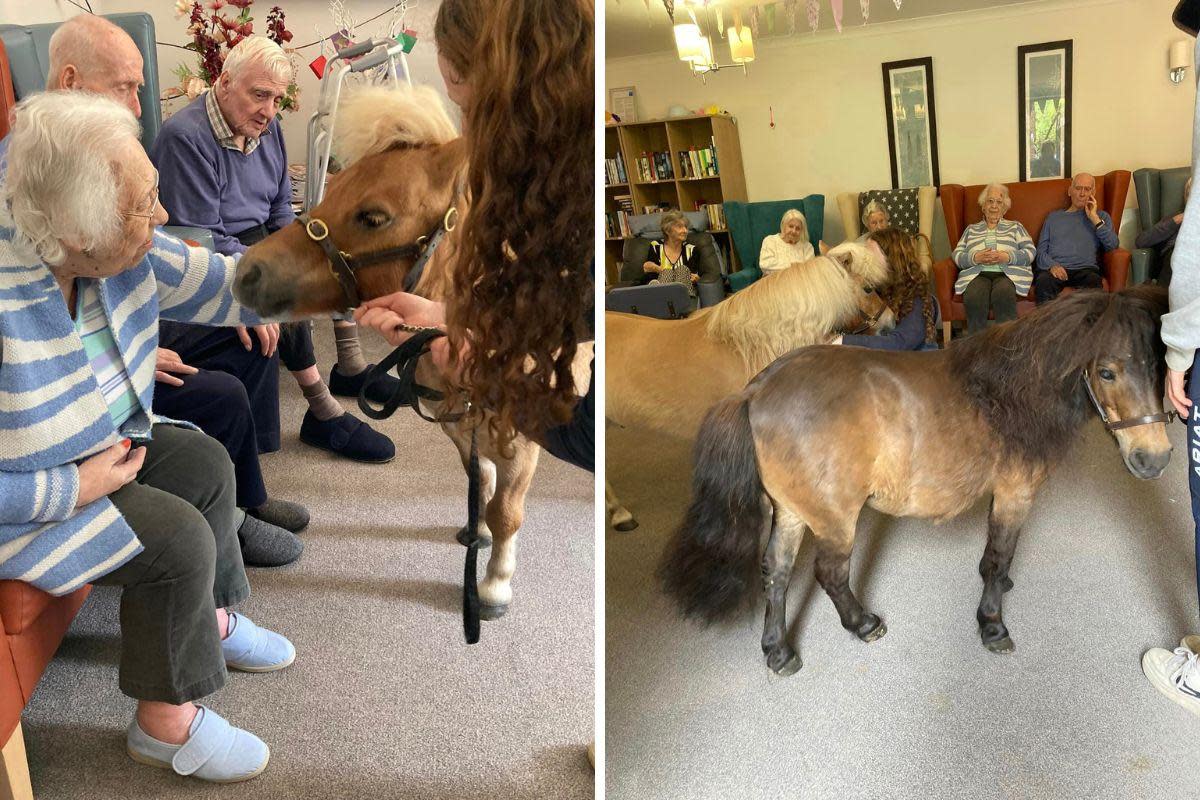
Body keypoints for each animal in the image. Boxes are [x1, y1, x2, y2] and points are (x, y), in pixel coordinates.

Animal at [230, 84, 590, 618]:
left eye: (373, 217)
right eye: (332, 187)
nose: (246, 273)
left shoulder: (523, 444)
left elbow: (506, 511)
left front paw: (494, 584)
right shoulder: (460, 428)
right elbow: (479, 483)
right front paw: (476, 534)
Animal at [657, 284, 1171, 671]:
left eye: (1160, 366)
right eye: (1107, 372)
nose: (1155, 458)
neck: (1008, 393)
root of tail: (756, 390)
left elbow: (999, 555)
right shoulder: (1015, 491)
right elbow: (997, 556)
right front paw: (992, 624)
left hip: (790, 513)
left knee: (776, 573)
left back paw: (778, 651)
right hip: (834, 519)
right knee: (830, 574)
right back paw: (862, 624)